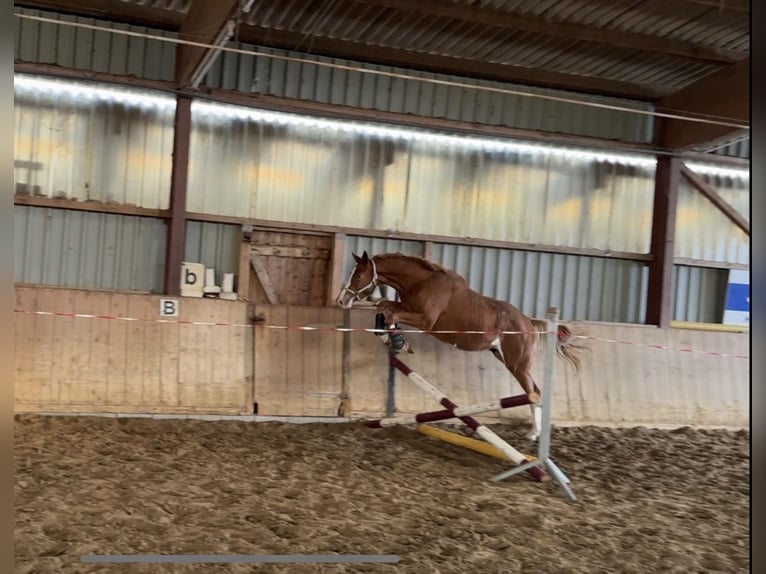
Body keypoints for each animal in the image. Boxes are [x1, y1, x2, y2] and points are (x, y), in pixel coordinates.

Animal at [334, 251, 584, 440]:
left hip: (518, 364)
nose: (341, 301)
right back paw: (535, 433)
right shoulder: (406, 307)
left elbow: (390, 313)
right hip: (506, 359)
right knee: (535, 391)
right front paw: (392, 338)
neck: (423, 282)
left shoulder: (426, 321)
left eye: (358, 274)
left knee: (534, 393)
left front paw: (397, 341)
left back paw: (533, 434)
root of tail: (529, 323)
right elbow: (384, 307)